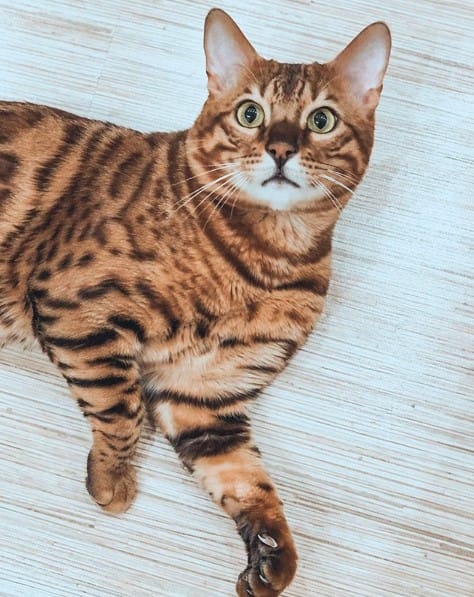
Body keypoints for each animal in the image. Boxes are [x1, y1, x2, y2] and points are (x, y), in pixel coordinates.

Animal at [0, 8, 391, 596]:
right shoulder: (76, 303)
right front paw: (112, 480)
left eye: (321, 120)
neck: (269, 257)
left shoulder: (203, 393)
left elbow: (248, 481)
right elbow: (121, 408)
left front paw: (271, 553)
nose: (281, 149)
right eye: (250, 113)